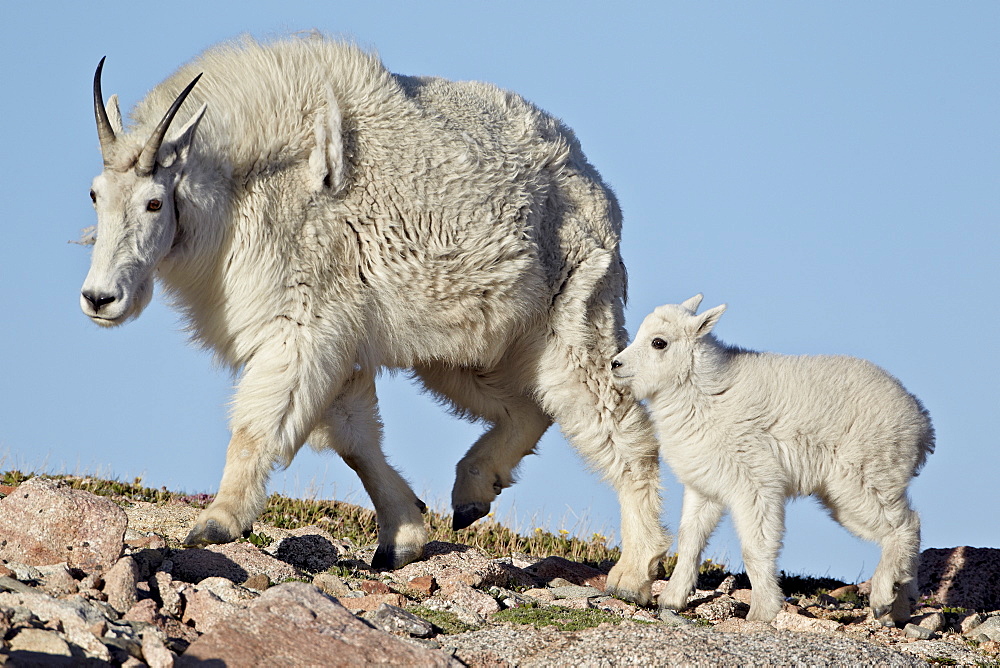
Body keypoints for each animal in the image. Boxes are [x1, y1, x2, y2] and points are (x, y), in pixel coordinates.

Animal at [82, 31, 668, 596]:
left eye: (155, 201)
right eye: (94, 194)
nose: (99, 298)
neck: (245, 188)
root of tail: (596, 186)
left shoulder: (303, 324)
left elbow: (261, 423)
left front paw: (217, 521)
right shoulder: (340, 341)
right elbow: (354, 439)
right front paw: (403, 536)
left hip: (576, 317)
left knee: (619, 427)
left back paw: (635, 573)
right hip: (468, 346)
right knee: (530, 406)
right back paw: (473, 491)